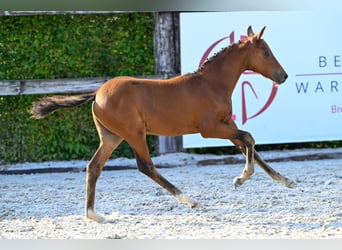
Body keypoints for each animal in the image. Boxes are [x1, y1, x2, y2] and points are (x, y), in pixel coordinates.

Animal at [30, 26, 296, 223]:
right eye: (266, 52)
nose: (283, 75)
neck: (212, 83)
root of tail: (96, 93)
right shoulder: (210, 129)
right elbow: (249, 138)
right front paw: (241, 179)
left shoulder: (225, 125)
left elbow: (248, 145)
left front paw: (286, 180)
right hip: (134, 133)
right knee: (145, 166)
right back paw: (190, 200)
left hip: (111, 137)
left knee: (94, 167)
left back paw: (94, 215)